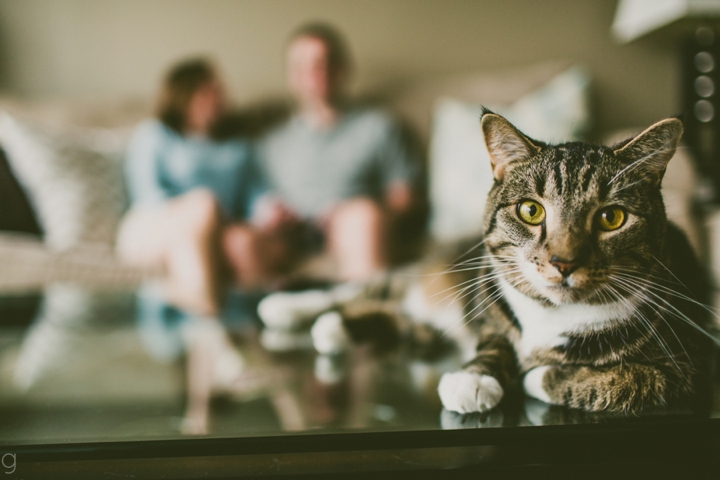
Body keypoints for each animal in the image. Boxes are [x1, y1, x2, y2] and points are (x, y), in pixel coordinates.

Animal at [258, 111, 708, 412]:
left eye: (611, 218)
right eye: (531, 211)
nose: (563, 262)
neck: (552, 315)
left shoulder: (687, 364)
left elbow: (630, 380)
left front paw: (537, 376)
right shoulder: (489, 307)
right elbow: (494, 341)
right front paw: (474, 378)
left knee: (395, 315)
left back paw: (333, 327)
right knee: (363, 288)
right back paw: (286, 309)